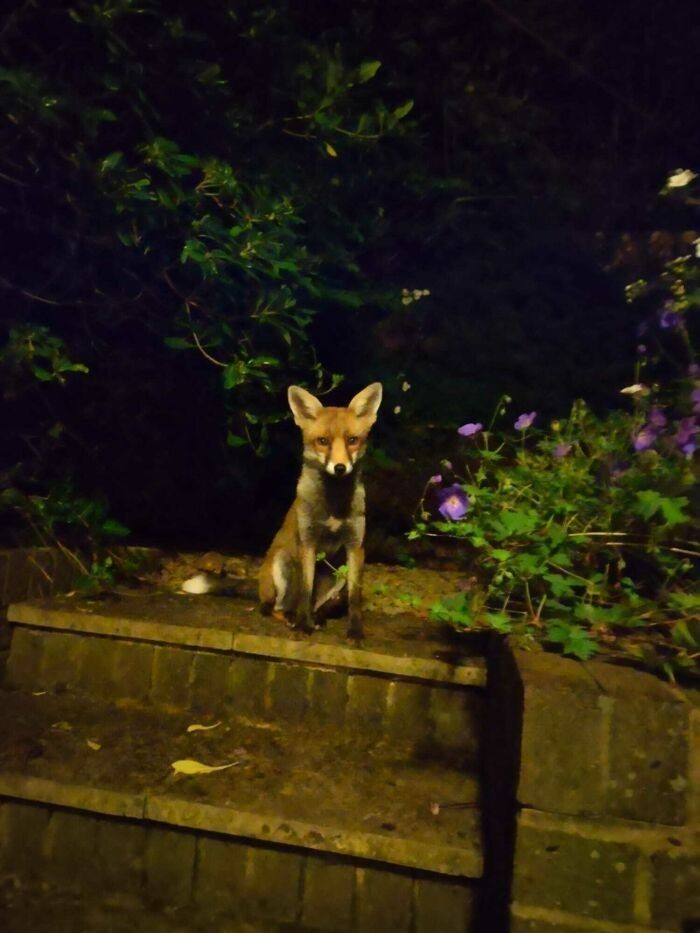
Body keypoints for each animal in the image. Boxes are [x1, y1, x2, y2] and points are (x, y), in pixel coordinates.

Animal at [258, 382, 382, 636]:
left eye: (352, 440)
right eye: (323, 441)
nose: (340, 467)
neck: (333, 504)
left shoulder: (356, 545)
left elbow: (355, 597)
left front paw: (355, 631)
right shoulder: (308, 542)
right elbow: (306, 590)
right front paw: (303, 626)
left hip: (339, 573)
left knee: (319, 603)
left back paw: (317, 617)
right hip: (281, 563)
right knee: (273, 607)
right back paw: (292, 618)